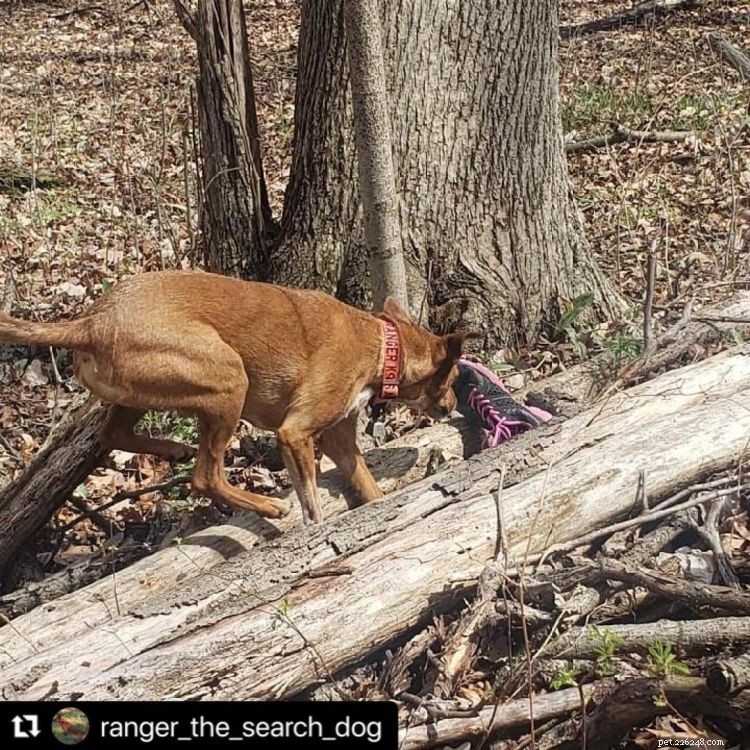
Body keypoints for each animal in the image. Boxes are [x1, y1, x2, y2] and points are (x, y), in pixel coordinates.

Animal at [0, 274, 470, 524]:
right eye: (453, 378)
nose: (452, 407)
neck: (382, 345)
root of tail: (90, 322)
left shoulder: (338, 437)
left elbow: (367, 484)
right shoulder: (295, 432)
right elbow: (311, 499)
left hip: (144, 391)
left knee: (112, 433)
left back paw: (172, 448)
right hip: (228, 378)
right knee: (205, 476)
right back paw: (265, 506)